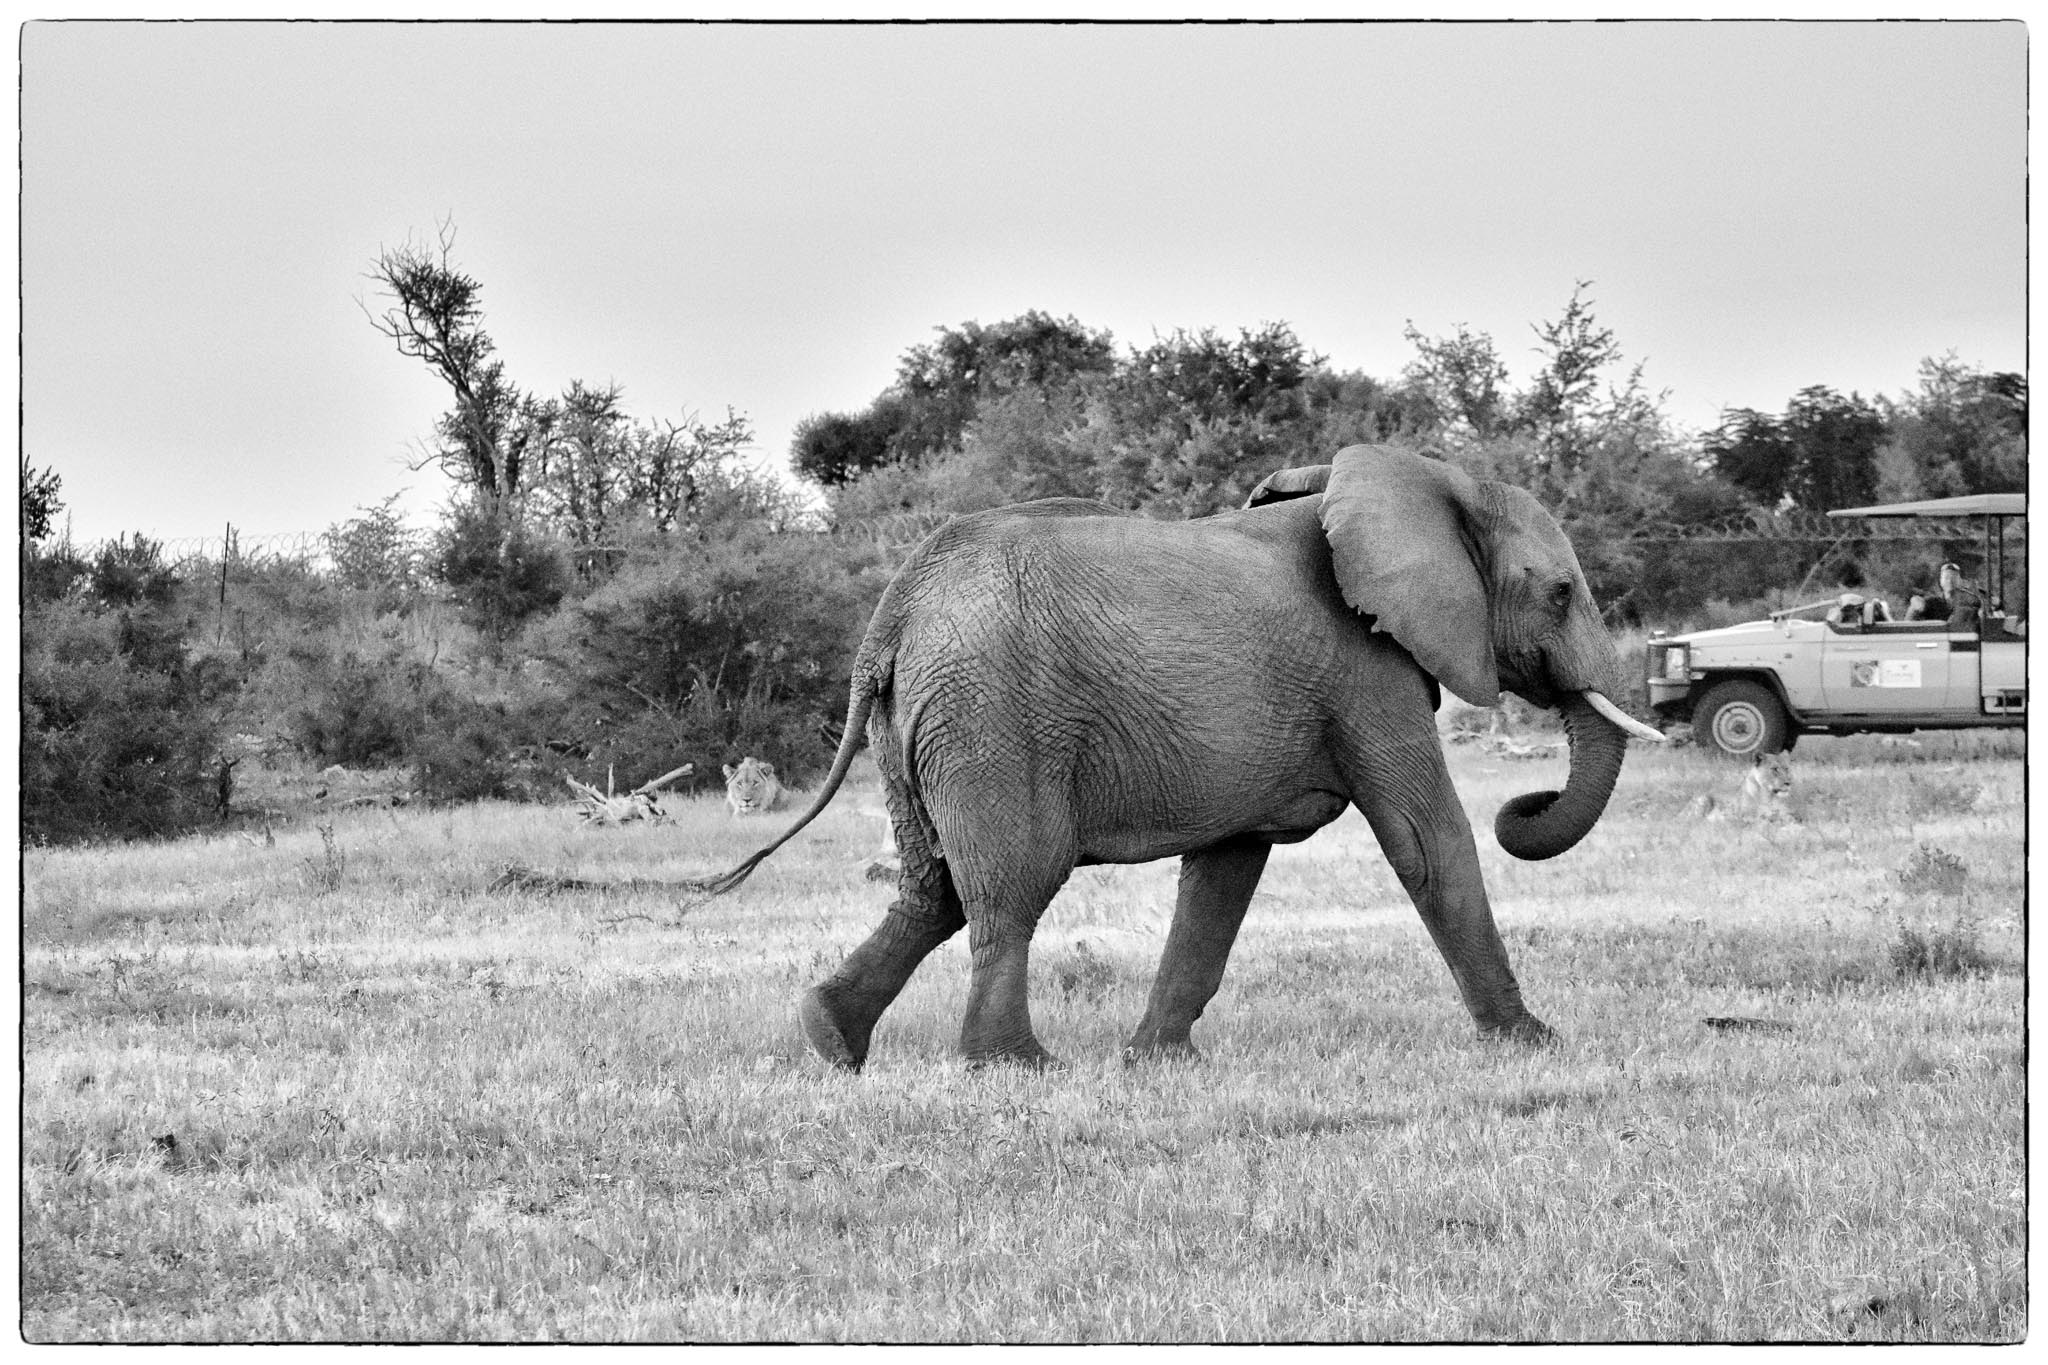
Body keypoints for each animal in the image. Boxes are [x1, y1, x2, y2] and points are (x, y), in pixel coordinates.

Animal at [695, 444, 1663, 1069]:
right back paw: (1015, 1065)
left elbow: (1226, 869)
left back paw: (830, 1040)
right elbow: (1427, 841)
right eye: (1562, 592)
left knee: (931, 889)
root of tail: (893, 613)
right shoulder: (1365, 672)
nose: (1524, 803)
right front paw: (1536, 1043)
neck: (1427, 480)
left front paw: (1156, 1061)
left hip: (925, 726)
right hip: (992, 718)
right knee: (1011, 886)